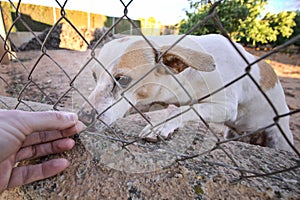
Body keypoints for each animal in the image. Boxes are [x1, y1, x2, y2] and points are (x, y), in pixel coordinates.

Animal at [78, 34, 294, 152]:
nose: (82, 118)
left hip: (280, 138)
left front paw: (160, 125)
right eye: (94, 76)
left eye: (122, 79)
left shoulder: (226, 107)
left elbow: (185, 110)